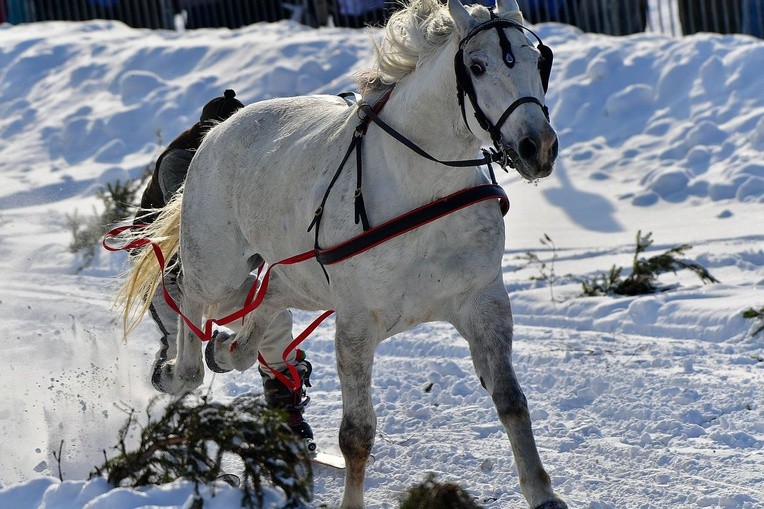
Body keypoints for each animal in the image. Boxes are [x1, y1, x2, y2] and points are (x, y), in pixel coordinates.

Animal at [119, 0, 560, 508]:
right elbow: (356, 434)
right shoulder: (355, 322)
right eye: (478, 66)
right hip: (217, 264)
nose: (538, 146)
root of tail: (218, 129)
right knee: (192, 296)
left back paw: (232, 349)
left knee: (267, 299)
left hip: (302, 278)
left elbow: (511, 401)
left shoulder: (483, 302)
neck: (420, 190)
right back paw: (181, 367)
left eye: (537, 61)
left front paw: (543, 493)